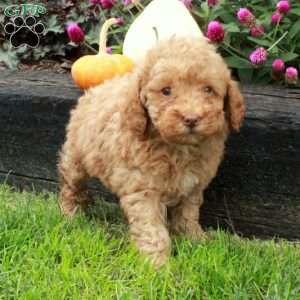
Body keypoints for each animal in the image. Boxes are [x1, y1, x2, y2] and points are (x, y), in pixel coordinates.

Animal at [58, 37, 244, 268]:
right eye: (166, 91)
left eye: (208, 89)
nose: (191, 119)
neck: (178, 148)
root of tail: (97, 89)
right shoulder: (143, 190)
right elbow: (152, 230)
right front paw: (158, 265)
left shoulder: (193, 186)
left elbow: (188, 215)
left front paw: (195, 240)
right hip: (75, 158)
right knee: (71, 186)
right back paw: (71, 214)